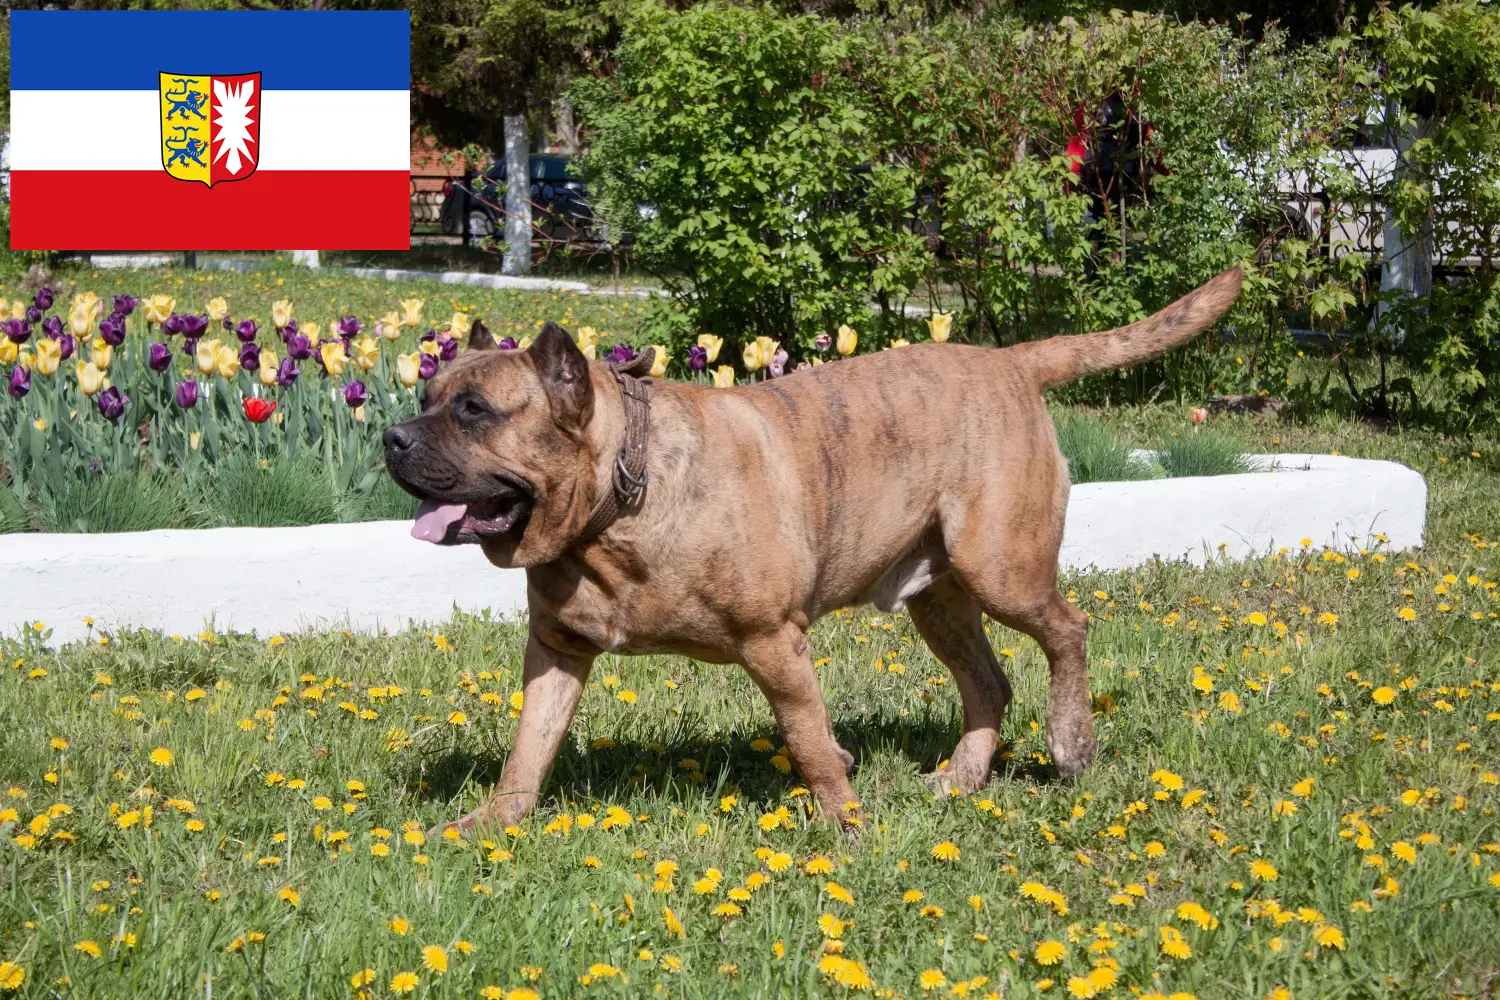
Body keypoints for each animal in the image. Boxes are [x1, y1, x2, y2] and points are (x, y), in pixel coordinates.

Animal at [384, 265, 1242, 839]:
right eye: (426, 397)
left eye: (474, 410)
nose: (392, 438)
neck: (618, 503)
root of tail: (1010, 360)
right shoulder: (557, 652)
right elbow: (528, 748)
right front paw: (493, 822)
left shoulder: (775, 643)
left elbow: (809, 742)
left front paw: (846, 826)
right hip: (938, 598)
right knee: (988, 683)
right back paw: (962, 778)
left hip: (1003, 568)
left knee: (1067, 631)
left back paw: (1071, 742)